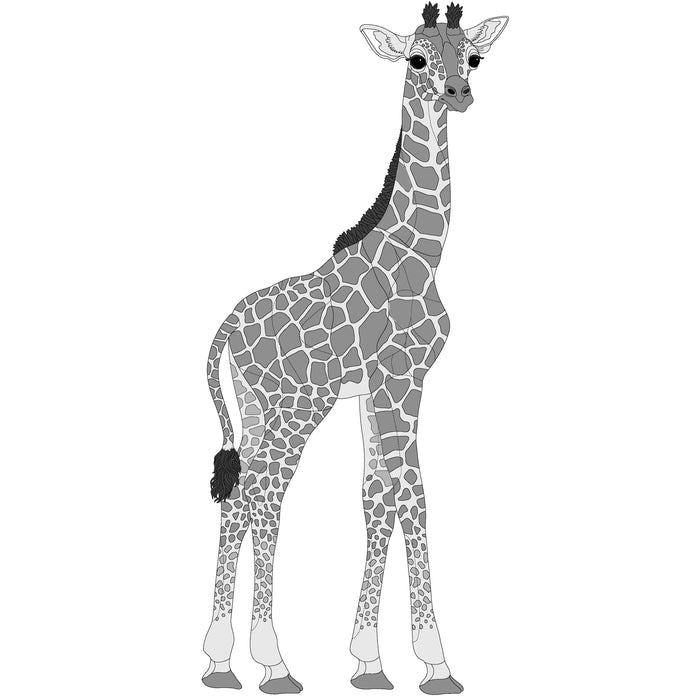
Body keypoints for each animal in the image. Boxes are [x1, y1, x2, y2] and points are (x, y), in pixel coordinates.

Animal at [202, 3, 508, 694]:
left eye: (472, 56)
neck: (421, 256)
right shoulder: (401, 380)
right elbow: (404, 494)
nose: (459, 94)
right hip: (297, 405)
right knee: (266, 493)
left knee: (241, 495)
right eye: (416, 58)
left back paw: (218, 662)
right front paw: (418, 660)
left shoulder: (383, 390)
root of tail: (229, 324)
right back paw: (273, 663)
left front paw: (382, 660)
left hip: (257, 406)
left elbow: (388, 495)